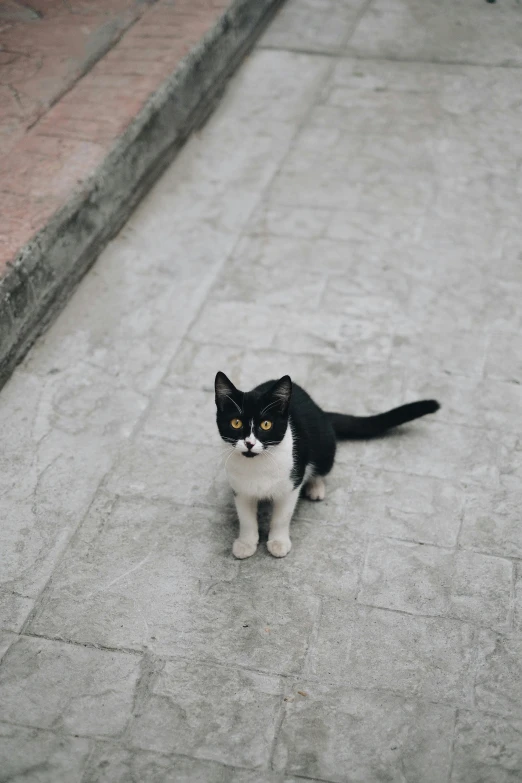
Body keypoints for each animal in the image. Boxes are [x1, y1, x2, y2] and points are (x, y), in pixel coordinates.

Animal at [213, 372, 436, 560]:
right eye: (235, 423)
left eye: (266, 425)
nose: (249, 443)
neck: (257, 464)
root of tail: (320, 411)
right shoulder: (240, 489)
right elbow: (246, 518)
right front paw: (246, 543)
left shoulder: (292, 482)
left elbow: (282, 516)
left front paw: (278, 542)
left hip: (325, 447)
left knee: (320, 467)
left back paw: (315, 486)